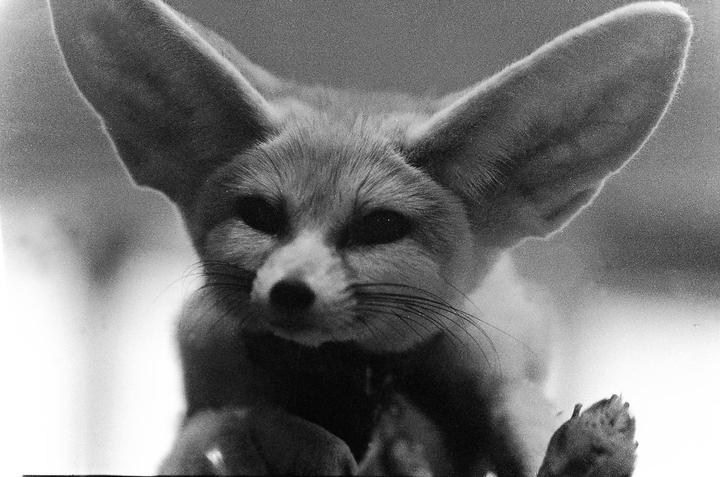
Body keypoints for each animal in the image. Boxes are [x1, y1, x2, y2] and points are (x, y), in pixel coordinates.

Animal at [48, 0, 691, 475]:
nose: (290, 291)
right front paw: (287, 443)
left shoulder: (493, 369)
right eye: (259, 214)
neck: (349, 376)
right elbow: (226, 424)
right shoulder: (205, 373)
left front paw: (590, 449)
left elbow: (523, 423)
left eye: (380, 227)